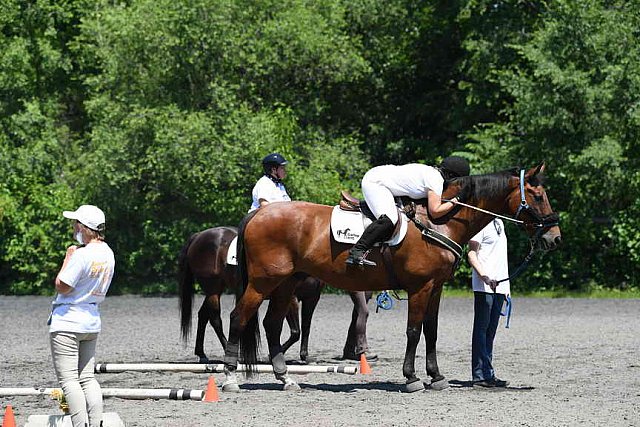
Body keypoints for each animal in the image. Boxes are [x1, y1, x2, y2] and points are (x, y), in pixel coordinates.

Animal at [178, 227, 372, 364]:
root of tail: (199, 236)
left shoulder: (312, 298)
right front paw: (275, 355)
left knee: (203, 315)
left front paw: (305, 356)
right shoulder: (291, 297)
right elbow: (296, 331)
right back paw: (230, 351)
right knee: (215, 318)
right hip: (213, 289)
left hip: (213, 290)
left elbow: (306, 327)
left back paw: (202, 354)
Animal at [221, 165, 560, 394]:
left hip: (286, 283)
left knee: (271, 324)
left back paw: (286, 378)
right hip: (263, 282)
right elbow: (413, 331)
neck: (440, 221)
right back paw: (230, 378)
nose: (554, 238)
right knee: (239, 318)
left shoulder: (436, 287)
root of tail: (259, 213)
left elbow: (431, 331)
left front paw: (436, 377)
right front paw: (411, 378)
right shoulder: (420, 287)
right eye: (538, 196)